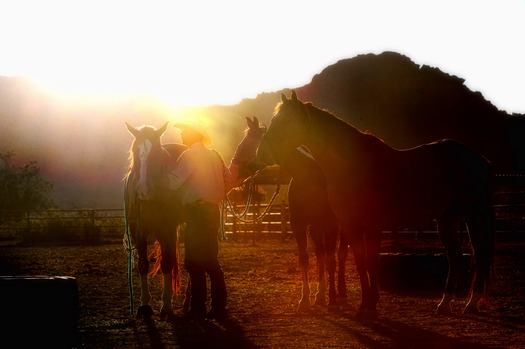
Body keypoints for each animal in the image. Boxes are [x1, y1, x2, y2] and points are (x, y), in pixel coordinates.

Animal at [124, 121, 186, 318]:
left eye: (157, 152)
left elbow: (166, 264)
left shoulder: (168, 229)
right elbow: (143, 265)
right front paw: (144, 305)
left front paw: (166, 305)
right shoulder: (139, 232)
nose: (143, 189)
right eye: (135, 150)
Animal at [258, 90, 496, 318]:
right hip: (447, 218)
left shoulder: (372, 225)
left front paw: (370, 307)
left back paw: (472, 302)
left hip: (474, 217)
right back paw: (445, 304)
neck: (353, 165)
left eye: (286, 122)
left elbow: (371, 262)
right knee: (455, 257)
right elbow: (360, 263)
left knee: (479, 253)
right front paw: (364, 305)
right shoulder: (350, 225)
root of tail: (477, 158)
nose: (262, 153)